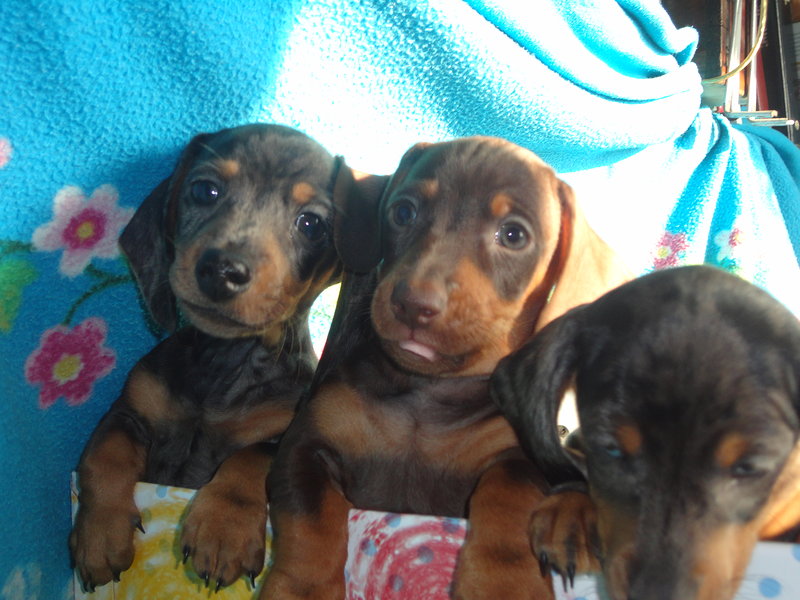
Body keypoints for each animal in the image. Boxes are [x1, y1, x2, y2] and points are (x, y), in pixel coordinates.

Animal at [72, 124, 350, 592]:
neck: (226, 359)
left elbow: (250, 455)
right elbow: (103, 455)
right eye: (205, 190)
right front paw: (98, 535)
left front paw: (223, 532)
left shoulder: (286, 436)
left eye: (312, 224)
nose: (223, 270)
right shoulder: (130, 410)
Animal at [260, 137, 628, 600]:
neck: (426, 393)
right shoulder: (305, 445)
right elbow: (310, 522)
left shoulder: (515, 456)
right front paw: (303, 588)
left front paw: (502, 584)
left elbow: (506, 498)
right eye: (403, 212)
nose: (412, 303)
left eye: (513, 235)